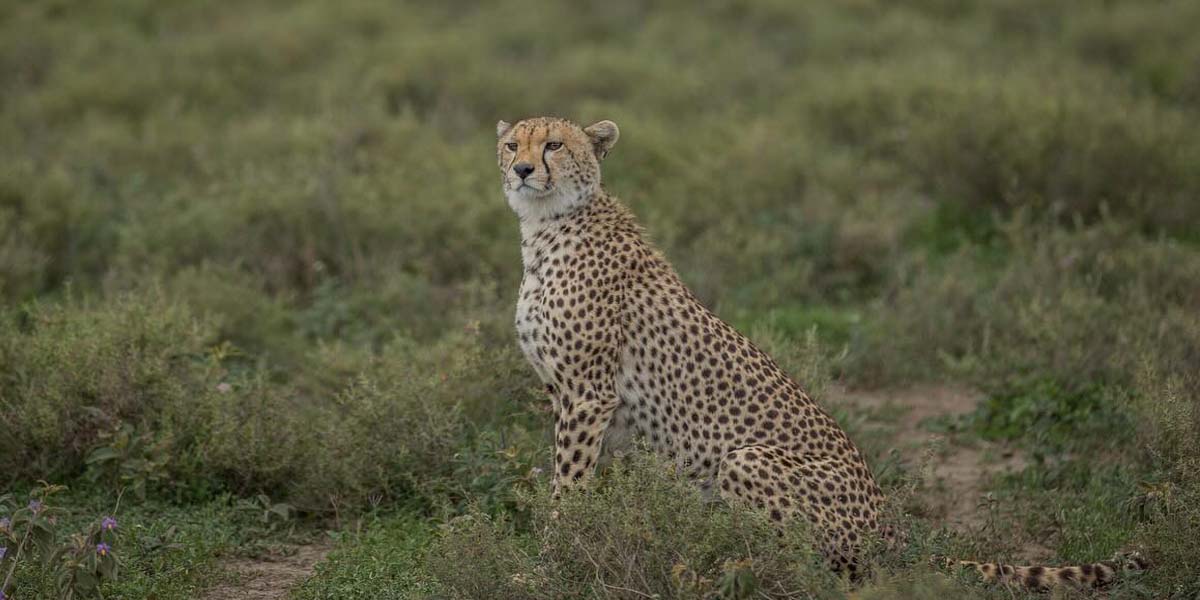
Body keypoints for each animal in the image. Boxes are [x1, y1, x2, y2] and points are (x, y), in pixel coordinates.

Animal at [494, 114, 1142, 588]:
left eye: (554, 144)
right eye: (510, 144)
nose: (522, 168)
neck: (546, 226)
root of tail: (892, 527)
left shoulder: (587, 394)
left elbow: (567, 491)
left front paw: (547, 563)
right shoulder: (588, 405)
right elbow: (598, 490)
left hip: (746, 460)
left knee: (821, 565)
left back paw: (731, 566)